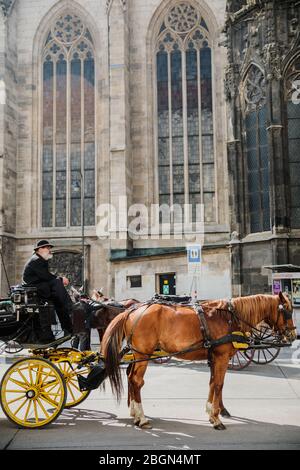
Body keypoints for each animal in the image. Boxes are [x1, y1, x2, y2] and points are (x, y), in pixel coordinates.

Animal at [101, 292, 298, 432]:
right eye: (287, 311)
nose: (293, 335)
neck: (229, 318)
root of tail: (132, 309)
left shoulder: (214, 357)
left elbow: (212, 383)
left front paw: (211, 412)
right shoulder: (221, 357)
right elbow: (218, 384)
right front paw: (217, 418)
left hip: (138, 354)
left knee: (130, 377)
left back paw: (135, 413)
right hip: (144, 354)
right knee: (136, 381)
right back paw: (141, 418)